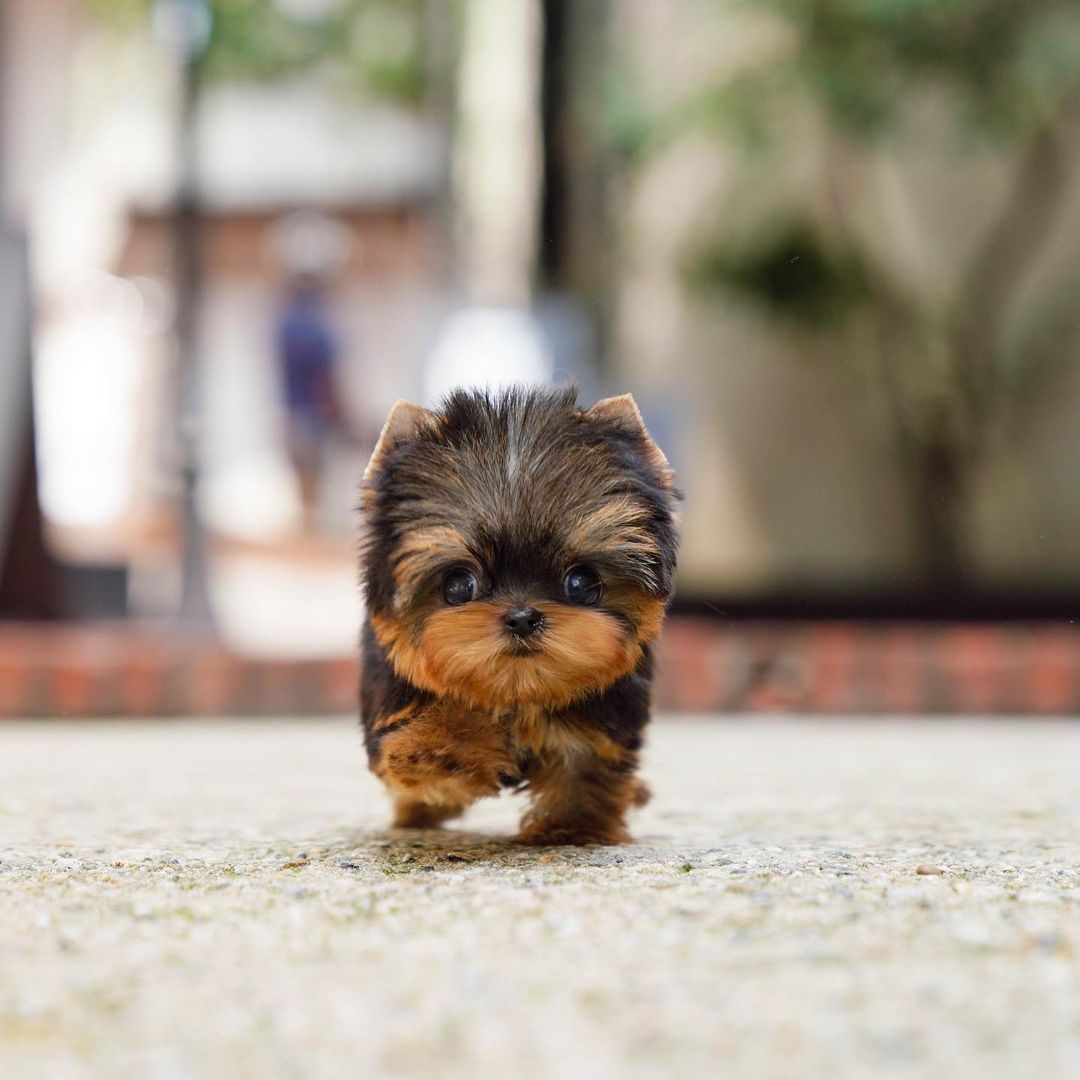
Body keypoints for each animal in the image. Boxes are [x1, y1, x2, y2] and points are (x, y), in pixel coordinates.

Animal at [362, 386, 682, 842]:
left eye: (581, 583)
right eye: (459, 585)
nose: (522, 617)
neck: (519, 691)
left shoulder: (606, 720)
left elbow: (585, 765)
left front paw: (569, 827)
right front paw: (440, 750)